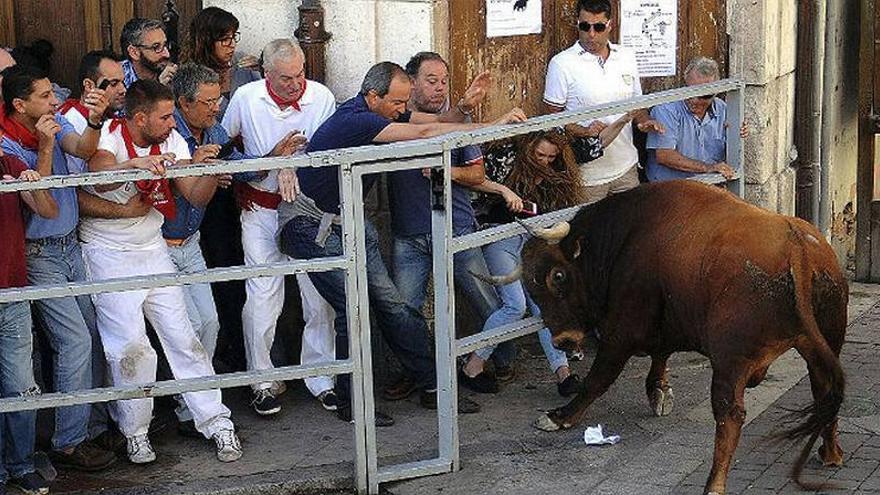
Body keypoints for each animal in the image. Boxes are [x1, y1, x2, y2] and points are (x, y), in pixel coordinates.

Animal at [520, 181, 844, 495]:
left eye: (557, 276)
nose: (562, 341)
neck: (625, 236)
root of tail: (797, 248)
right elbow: (660, 355)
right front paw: (659, 390)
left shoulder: (619, 334)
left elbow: (596, 381)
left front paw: (559, 417)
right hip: (824, 346)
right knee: (824, 392)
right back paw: (830, 453)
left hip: (729, 363)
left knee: (730, 416)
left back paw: (714, 485)